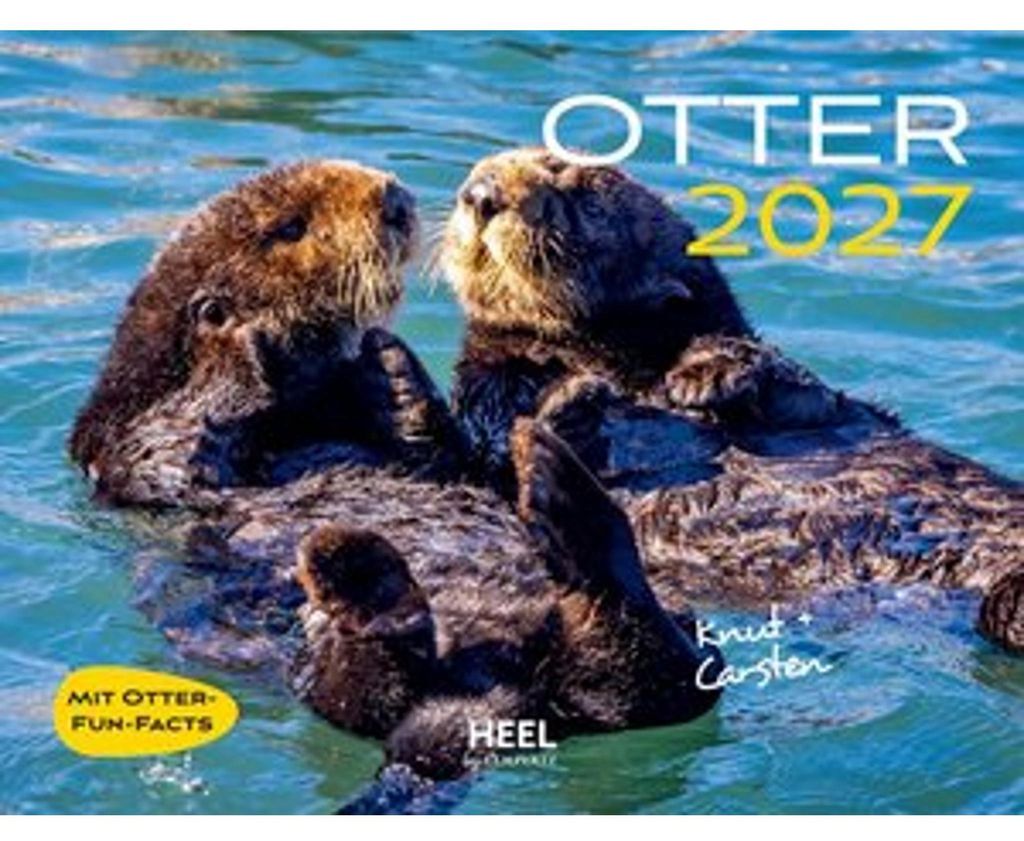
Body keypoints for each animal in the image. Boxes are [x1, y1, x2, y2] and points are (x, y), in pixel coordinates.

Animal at [71, 160, 722, 785]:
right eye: (291, 228)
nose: (393, 199)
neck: (299, 417)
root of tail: (499, 706)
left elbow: (441, 458)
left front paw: (391, 368)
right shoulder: (129, 445)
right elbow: (182, 441)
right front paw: (246, 342)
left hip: (680, 636)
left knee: (655, 678)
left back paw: (557, 485)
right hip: (301, 662)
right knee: (362, 690)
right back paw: (367, 580)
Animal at [441, 146, 1024, 654]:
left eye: (578, 190)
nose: (481, 193)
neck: (611, 358)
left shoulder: (810, 397)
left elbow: (802, 388)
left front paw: (708, 374)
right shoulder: (487, 388)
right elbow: (497, 432)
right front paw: (571, 403)